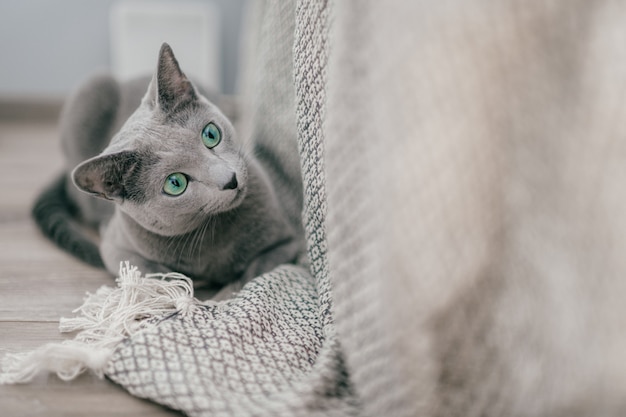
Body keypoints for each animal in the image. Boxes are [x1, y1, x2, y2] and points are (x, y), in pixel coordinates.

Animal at [33, 44, 302, 288]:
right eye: (175, 183)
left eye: (211, 134)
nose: (230, 180)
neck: (213, 233)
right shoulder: (115, 248)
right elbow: (154, 275)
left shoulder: (287, 243)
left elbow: (256, 272)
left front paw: (230, 289)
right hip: (92, 87)